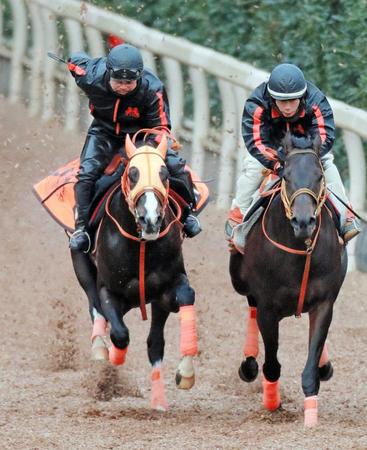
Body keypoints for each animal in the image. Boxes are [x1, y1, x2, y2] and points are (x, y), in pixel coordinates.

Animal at [230, 133, 348, 426]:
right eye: (286, 175)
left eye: (319, 175)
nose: (303, 221)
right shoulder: (268, 308)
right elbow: (271, 364)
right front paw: (272, 402)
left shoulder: (324, 303)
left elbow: (312, 360)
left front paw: (311, 415)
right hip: (240, 281)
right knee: (250, 307)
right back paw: (249, 364)